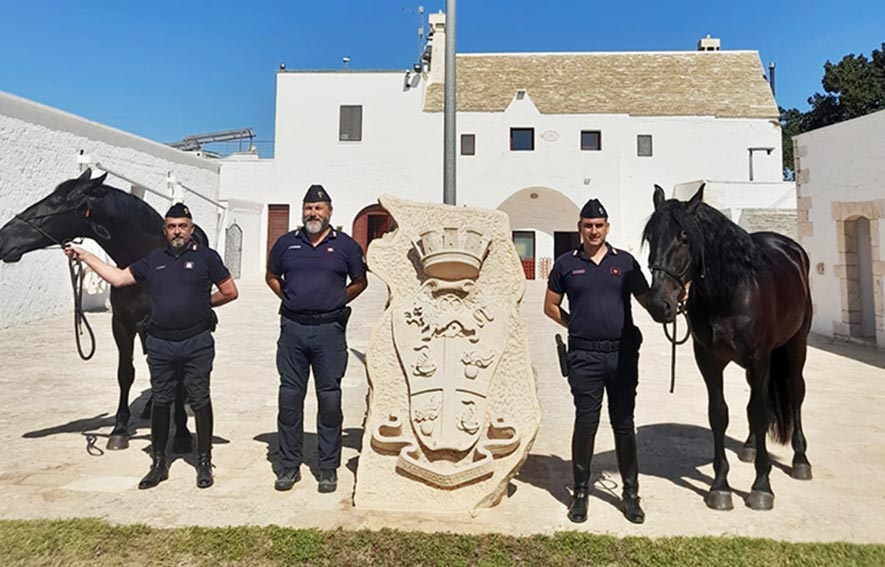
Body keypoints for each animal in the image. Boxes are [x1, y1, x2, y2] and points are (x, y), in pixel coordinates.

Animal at [0, 169, 199, 452]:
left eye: (56, 203)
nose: (3, 239)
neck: (142, 265)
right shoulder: (123, 324)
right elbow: (125, 374)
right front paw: (119, 430)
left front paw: (182, 434)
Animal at [640, 184, 812, 512]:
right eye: (651, 238)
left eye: (685, 237)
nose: (659, 304)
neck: (730, 292)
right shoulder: (709, 360)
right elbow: (719, 414)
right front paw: (720, 486)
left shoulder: (759, 358)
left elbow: (759, 412)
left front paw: (762, 486)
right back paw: (750, 447)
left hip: (796, 344)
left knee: (794, 393)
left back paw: (800, 460)